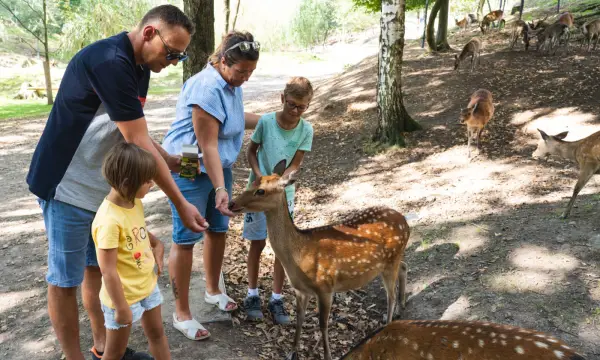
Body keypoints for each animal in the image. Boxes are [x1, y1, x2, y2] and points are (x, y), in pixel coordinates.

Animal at [227, 160, 410, 360]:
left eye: (261, 191)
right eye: (252, 182)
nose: (231, 203)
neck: (299, 253)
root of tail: (405, 221)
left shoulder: (325, 286)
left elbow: (323, 324)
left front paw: (327, 355)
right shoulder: (301, 290)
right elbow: (299, 318)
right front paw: (292, 352)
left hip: (390, 261)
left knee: (391, 295)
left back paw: (389, 322)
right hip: (393, 260)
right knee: (404, 267)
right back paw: (401, 308)